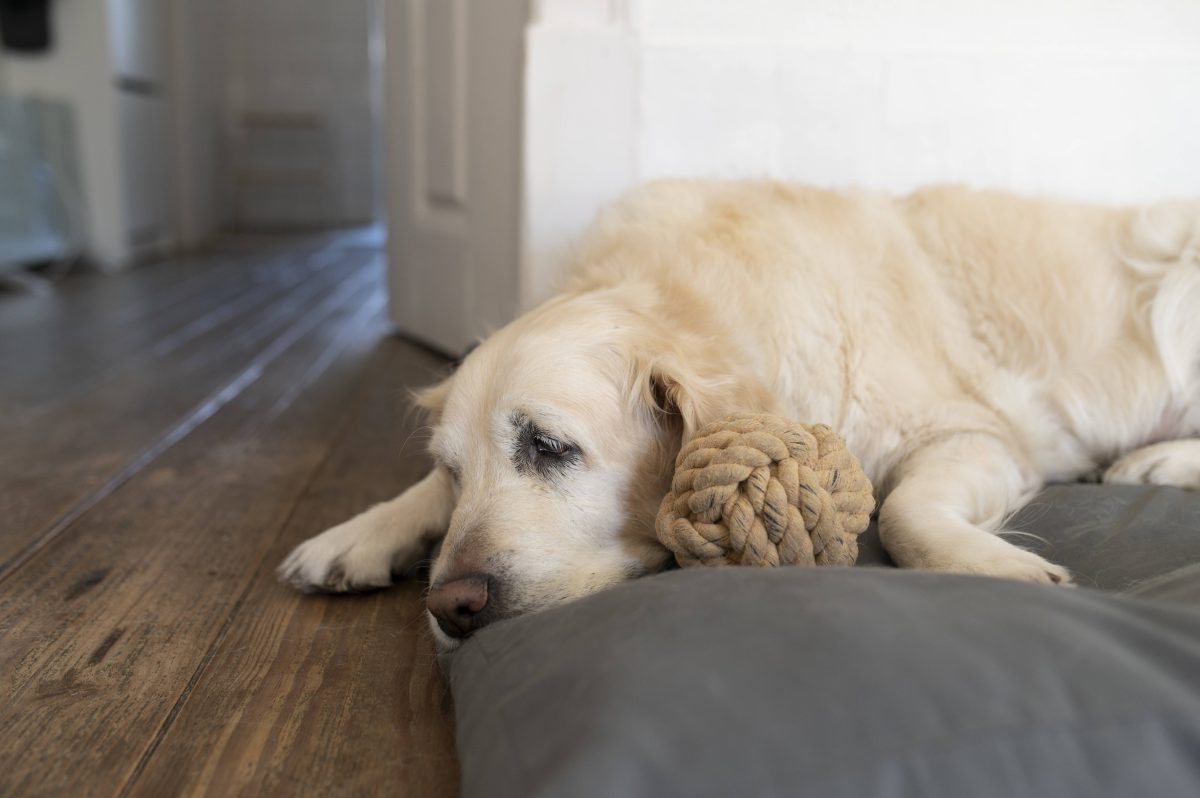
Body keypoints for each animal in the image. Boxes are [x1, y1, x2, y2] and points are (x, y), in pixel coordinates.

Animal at [278, 180, 1200, 648]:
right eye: (454, 468)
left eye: (550, 446)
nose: (451, 606)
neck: (701, 303)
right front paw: (358, 533)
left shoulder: (976, 433)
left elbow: (905, 511)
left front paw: (994, 566)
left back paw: (1151, 461)